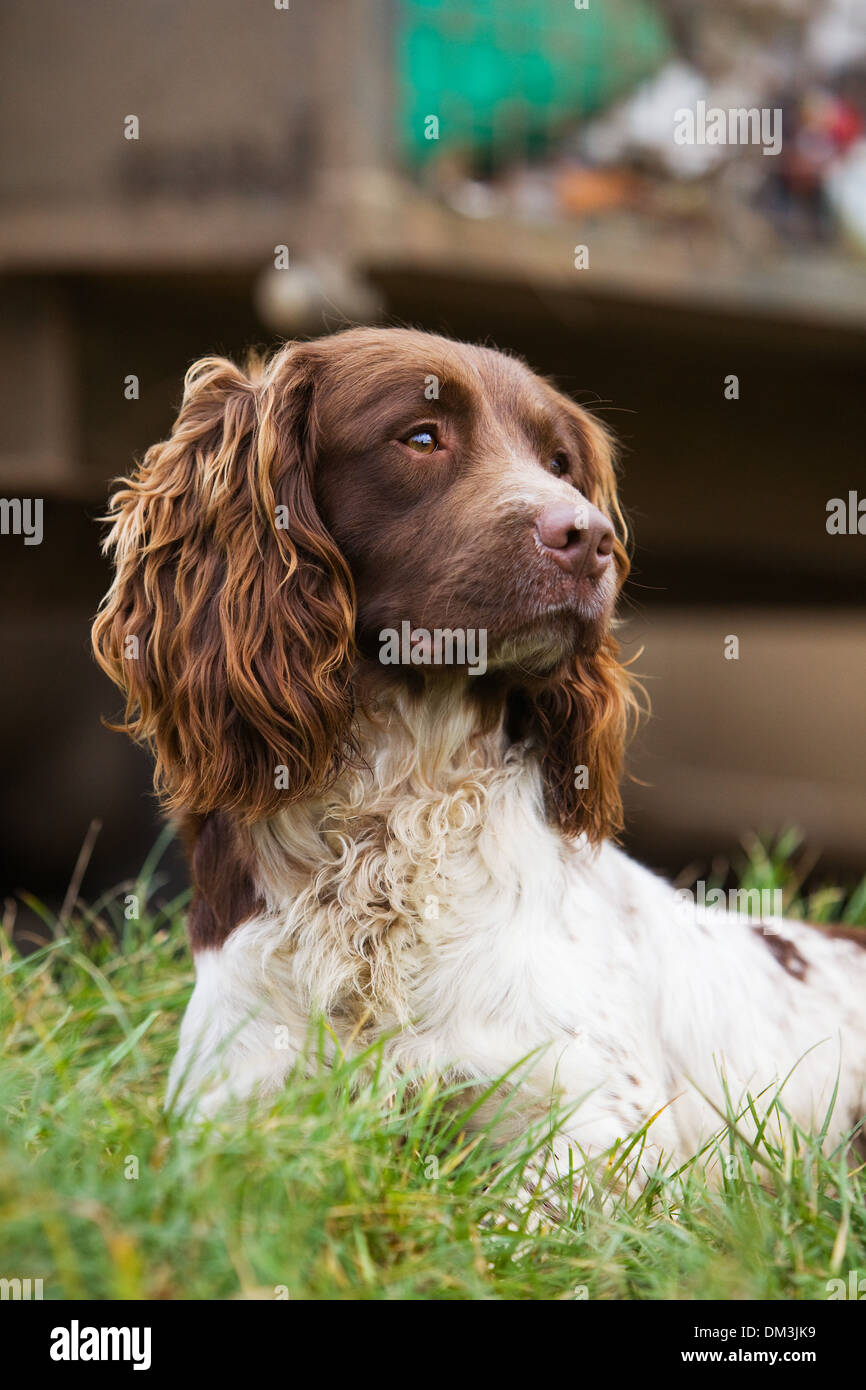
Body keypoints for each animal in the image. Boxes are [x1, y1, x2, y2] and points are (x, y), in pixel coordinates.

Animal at [91, 325, 861, 1184]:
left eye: (560, 463)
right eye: (422, 437)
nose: (590, 538)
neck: (387, 831)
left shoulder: (604, 1131)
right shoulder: (229, 1105)